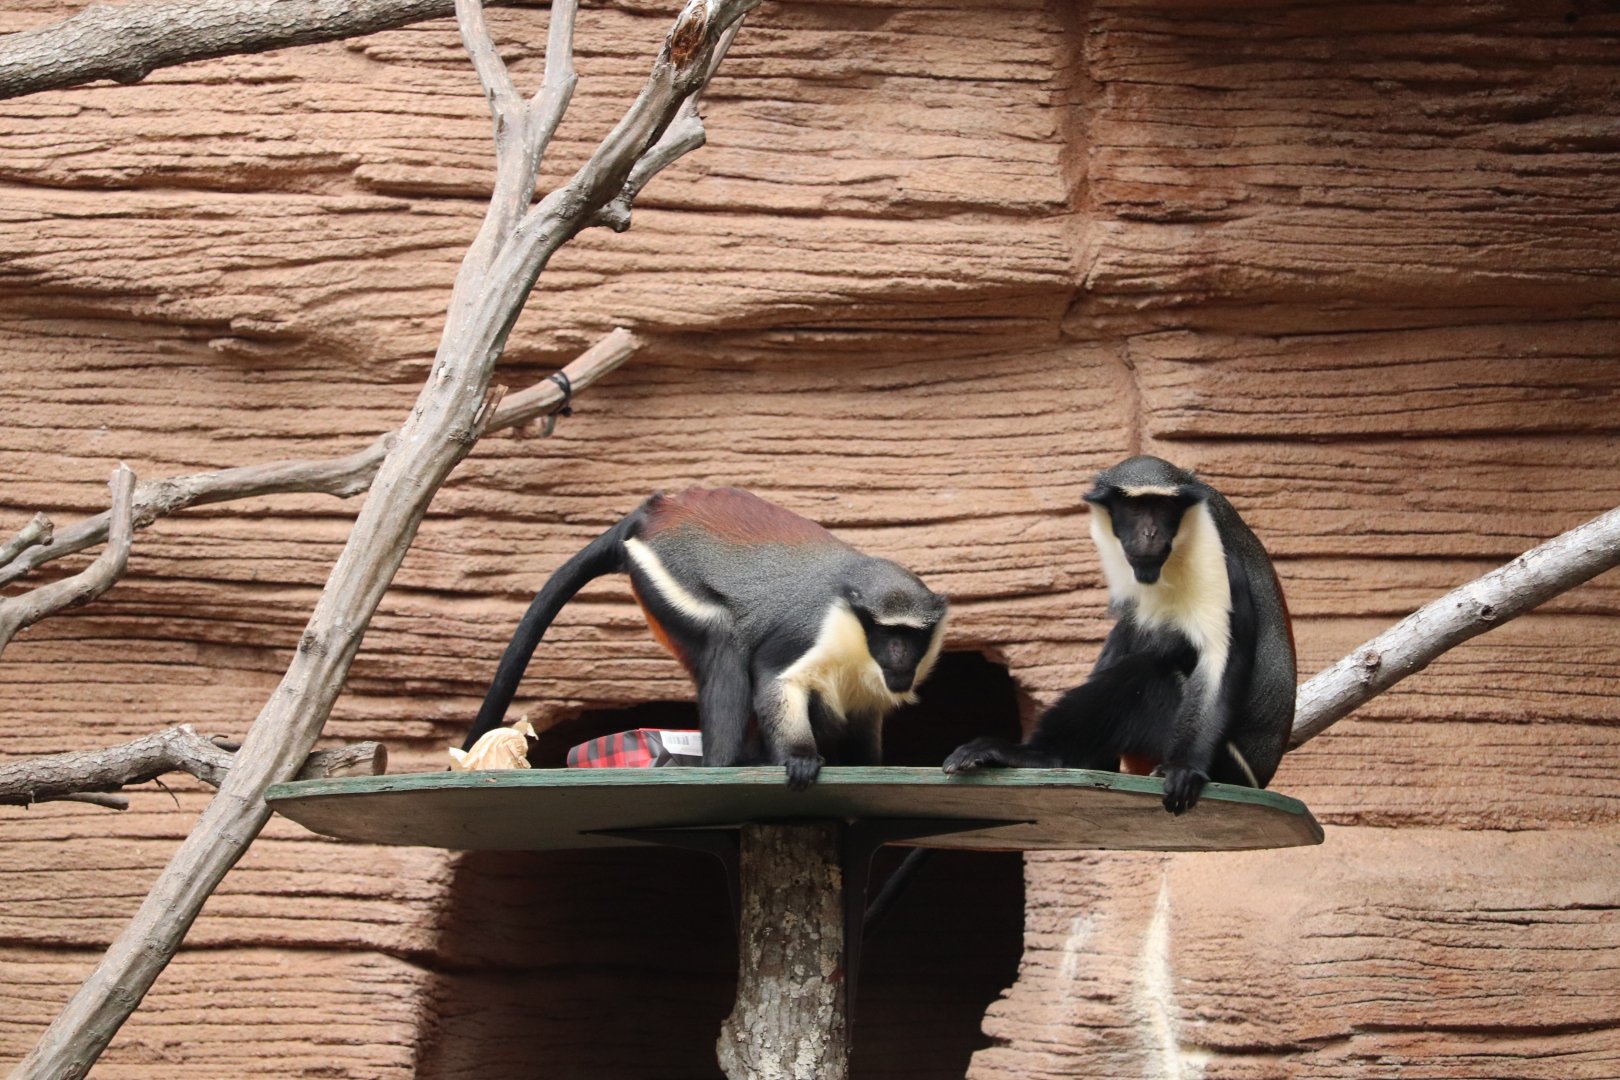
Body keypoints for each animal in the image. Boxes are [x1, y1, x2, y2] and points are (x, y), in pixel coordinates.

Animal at [462, 487, 949, 790]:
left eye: (913, 636)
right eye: (887, 632)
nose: (899, 655)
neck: (853, 626)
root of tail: (654, 510)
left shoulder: (868, 692)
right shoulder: (809, 634)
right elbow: (775, 680)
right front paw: (799, 756)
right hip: (669, 579)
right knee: (724, 645)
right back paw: (726, 765)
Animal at [943, 455, 1295, 815]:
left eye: (1163, 507)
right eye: (1135, 508)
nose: (1150, 533)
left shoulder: (1218, 557)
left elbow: (1216, 658)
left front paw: (1184, 769)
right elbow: (1128, 628)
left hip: (1223, 761)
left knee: (1147, 673)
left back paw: (1036, 755)